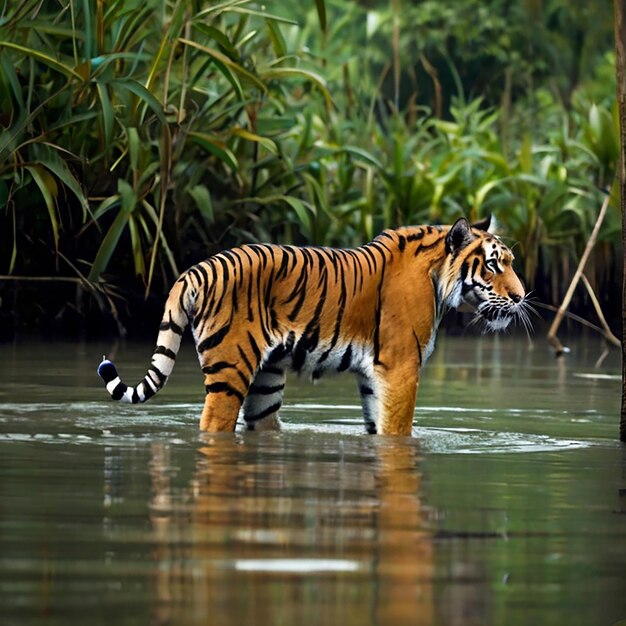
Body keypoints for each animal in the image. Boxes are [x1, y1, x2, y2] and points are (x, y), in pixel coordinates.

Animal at [97, 214, 528, 434]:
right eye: (494, 265)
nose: (521, 297)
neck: (437, 279)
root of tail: (194, 270)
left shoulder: (375, 376)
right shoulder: (402, 366)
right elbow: (398, 430)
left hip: (266, 378)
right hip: (230, 370)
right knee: (213, 421)